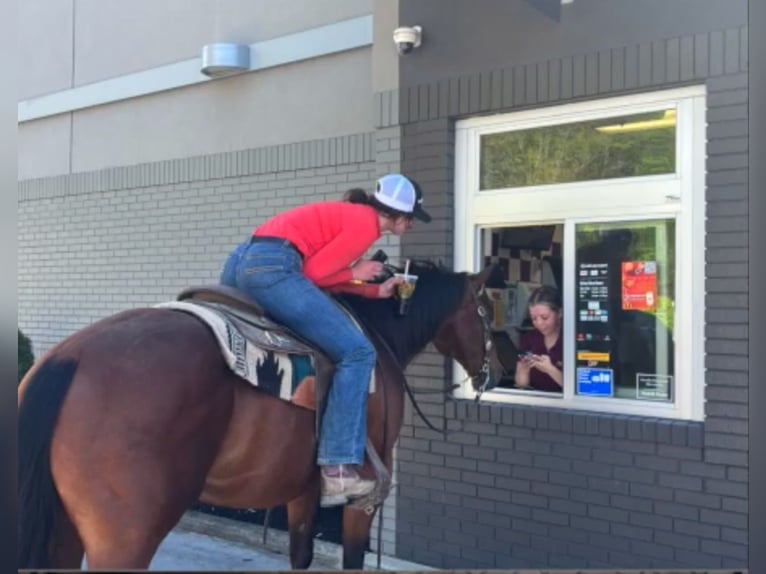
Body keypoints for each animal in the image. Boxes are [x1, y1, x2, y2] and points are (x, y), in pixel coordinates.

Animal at [16, 264, 504, 572]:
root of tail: (70, 357)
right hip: (124, 537)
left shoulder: (303, 490)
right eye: (486, 311)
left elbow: (301, 553)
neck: (377, 337)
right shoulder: (362, 499)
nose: (494, 371)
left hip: (65, 529)